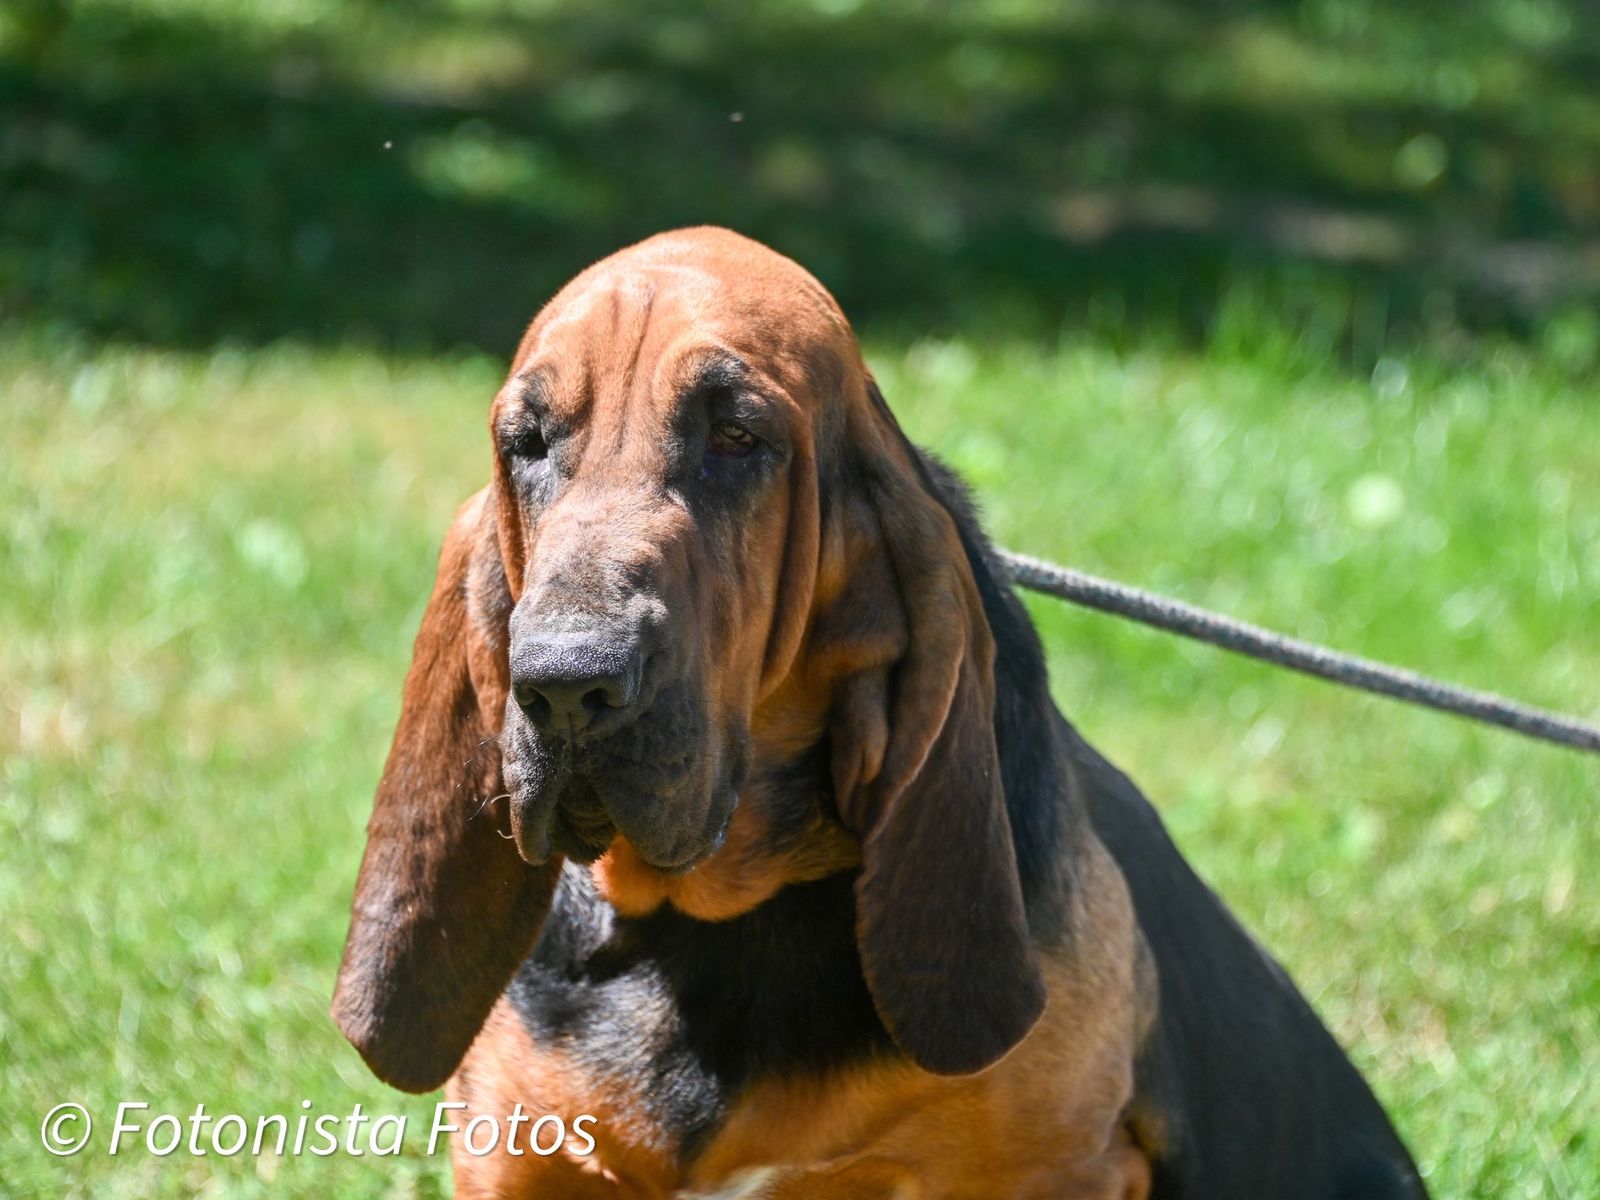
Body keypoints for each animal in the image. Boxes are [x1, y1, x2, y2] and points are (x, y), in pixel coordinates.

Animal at [334, 227, 1427, 1200]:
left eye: (737, 437)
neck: (705, 926)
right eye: (524, 445)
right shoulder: (516, 1160)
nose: (565, 683)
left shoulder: (1058, 1170)